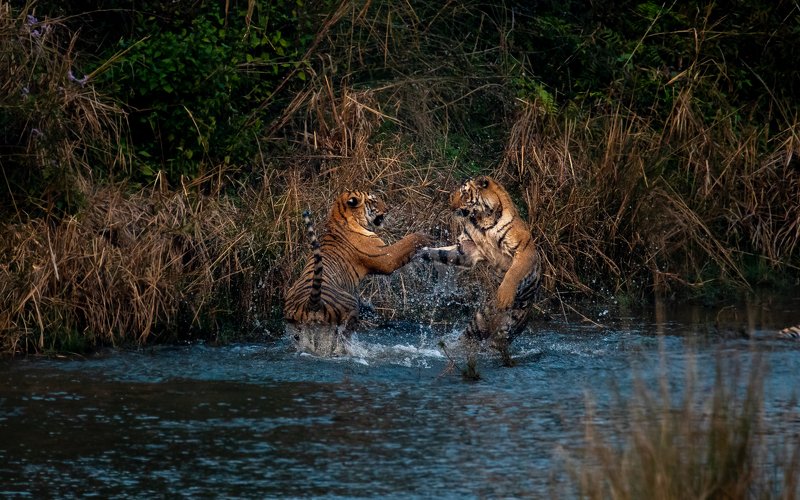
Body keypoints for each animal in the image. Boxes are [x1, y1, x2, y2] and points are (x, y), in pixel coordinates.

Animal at [284, 191, 430, 354]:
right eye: (374, 201)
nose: (388, 209)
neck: (339, 217)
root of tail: (311, 303)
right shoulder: (386, 257)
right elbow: (406, 242)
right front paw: (425, 236)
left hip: (296, 326)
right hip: (350, 309)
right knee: (343, 336)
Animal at [417, 175, 541, 365]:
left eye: (464, 193)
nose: (450, 205)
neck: (483, 221)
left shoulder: (524, 251)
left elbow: (513, 273)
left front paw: (503, 296)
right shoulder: (468, 250)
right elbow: (441, 252)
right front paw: (418, 251)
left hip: (508, 327)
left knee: (497, 342)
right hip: (478, 323)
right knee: (469, 340)